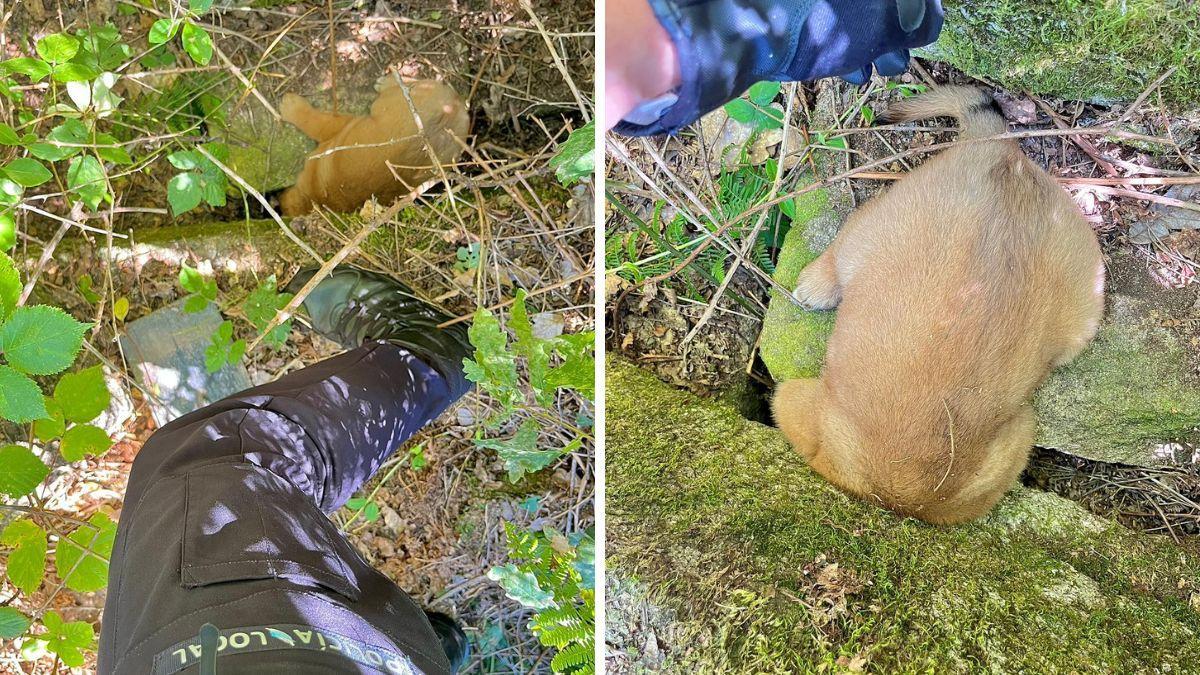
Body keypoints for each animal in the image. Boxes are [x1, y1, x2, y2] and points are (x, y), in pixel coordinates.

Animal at [279, 77, 468, 216]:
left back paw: (388, 80)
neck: (319, 196)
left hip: (386, 101)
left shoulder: (336, 127)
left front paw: (291, 107)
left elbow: (312, 120)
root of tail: (451, 108)